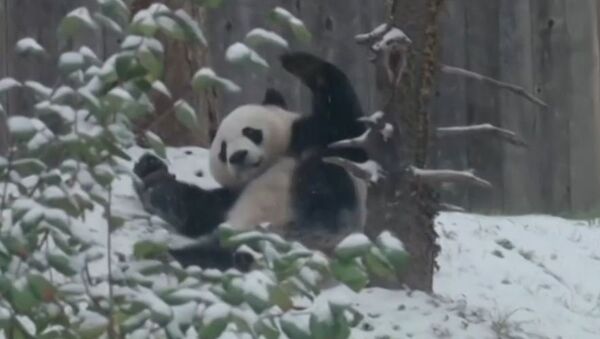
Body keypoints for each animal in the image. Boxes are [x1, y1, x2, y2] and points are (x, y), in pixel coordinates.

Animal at [135, 51, 368, 270]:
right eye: (223, 150)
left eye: (250, 131)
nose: (237, 156)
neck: (273, 163)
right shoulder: (233, 196)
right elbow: (196, 210)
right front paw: (151, 173)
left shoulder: (315, 136)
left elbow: (345, 126)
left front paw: (299, 63)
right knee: (211, 254)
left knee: (324, 180)